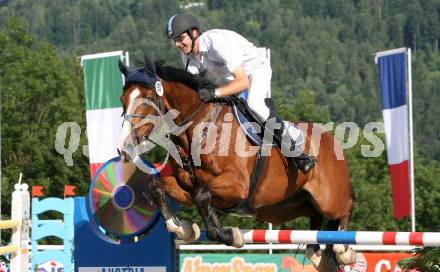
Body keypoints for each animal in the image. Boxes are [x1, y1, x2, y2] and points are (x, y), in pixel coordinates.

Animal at [117, 58, 358, 270]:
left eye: (149, 97)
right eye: (122, 99)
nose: (124, 147)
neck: (200, 130)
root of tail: (330, 138)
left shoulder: (237, 186)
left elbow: (202, 196)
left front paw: (229, 234)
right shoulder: (186, 187)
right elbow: (157, 187)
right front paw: (182, 228)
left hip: (328, 198)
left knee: (346, 205)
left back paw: (342, 250)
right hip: (287, 205)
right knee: (315, 217)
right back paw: (318, 254)